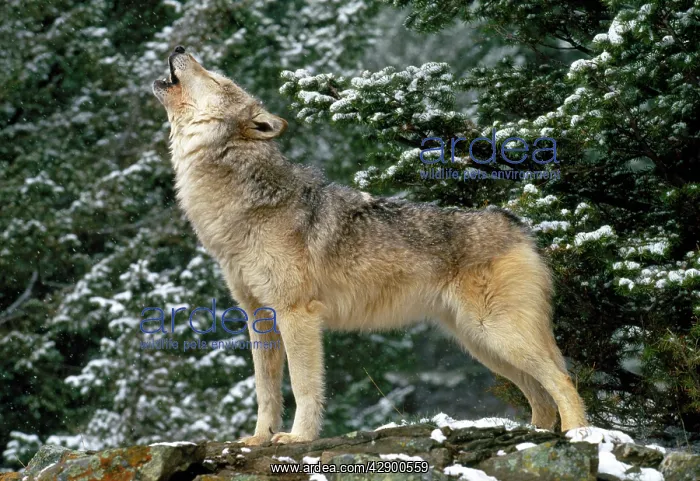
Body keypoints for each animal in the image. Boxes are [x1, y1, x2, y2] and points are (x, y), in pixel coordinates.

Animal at [152, 46, 588, 445]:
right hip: (481, 344)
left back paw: (580, 435)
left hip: (497, 334)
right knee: (540, 395)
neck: (246, 204)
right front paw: (260, 439)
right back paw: (536, 435)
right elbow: (266, 390)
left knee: (563, 380)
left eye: (217, 79)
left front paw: (297, 438)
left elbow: (304, 386)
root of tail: (517, 224)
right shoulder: (258, 317)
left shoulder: (297, 314)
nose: (178, 47)